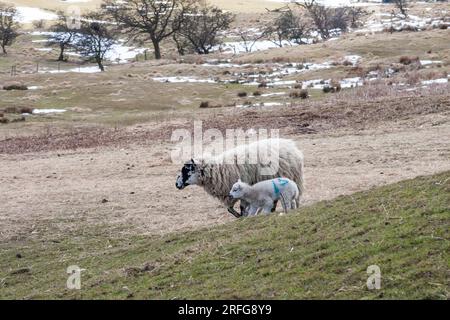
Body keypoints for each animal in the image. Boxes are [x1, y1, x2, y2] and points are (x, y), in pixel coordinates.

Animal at [174, 138, 304, 218]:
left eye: (186, 170)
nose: (176, 184)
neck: (218, 170)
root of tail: (292, 146)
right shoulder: (230, 192)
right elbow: (230, 209)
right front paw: (242, 215)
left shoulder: (241, 188)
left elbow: (241, 207)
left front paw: (243, 216)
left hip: (293, 178)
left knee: (295, 198)